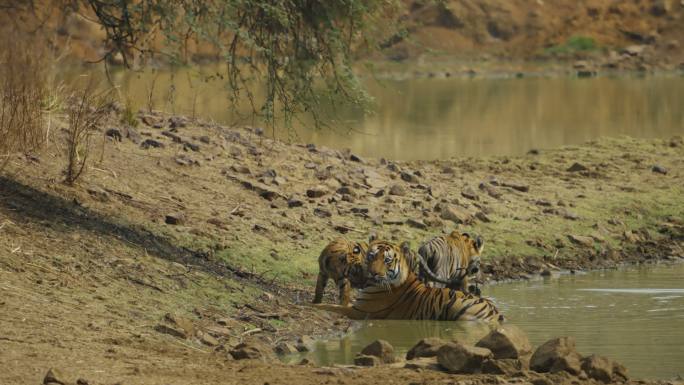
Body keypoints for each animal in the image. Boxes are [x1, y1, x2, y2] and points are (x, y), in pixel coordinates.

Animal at [310, 238, 502, 322]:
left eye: (387, 260)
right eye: (371, 256)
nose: (372, 273)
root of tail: (496, 311)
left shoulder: (360, 311)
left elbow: (332, 306)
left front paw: (313, 306)